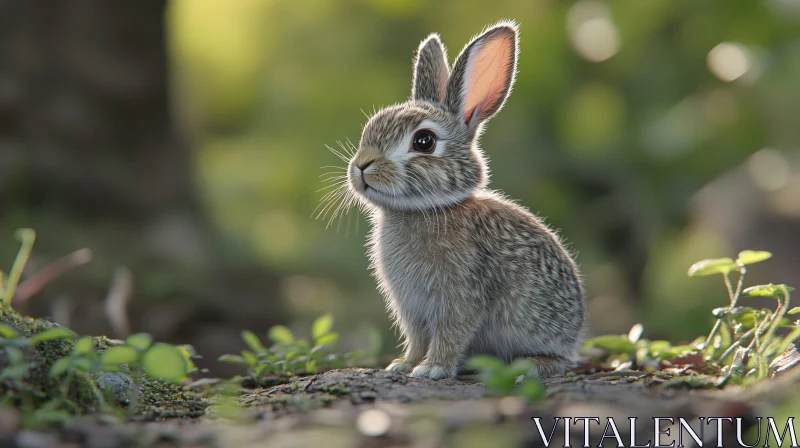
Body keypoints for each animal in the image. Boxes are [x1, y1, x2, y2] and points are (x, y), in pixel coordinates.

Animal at [346, 20, 584, 378]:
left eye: (424, 141)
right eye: (369, 129)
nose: (362, 165)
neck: (426, 209)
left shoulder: (461, 295)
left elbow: (451, 332)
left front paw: (432, 369)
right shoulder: (411, 309)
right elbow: (417, 338)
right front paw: (404, 364)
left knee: (559, 361)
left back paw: (528, 366)